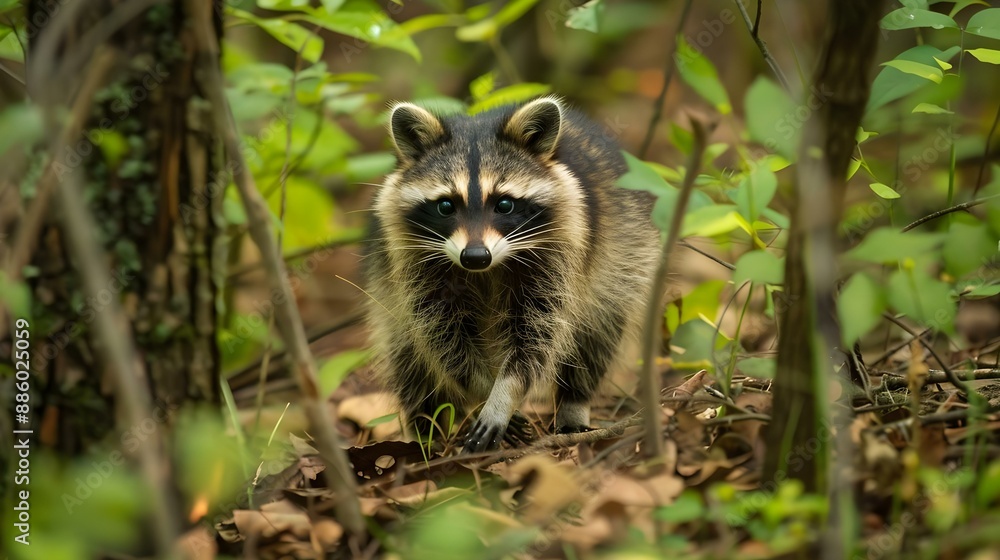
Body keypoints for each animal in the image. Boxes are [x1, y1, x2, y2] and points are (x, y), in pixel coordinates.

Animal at [363, 96, 659, 452]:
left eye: (504, 204)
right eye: (445, 206)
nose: (475, 256)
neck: (487, 270)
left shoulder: (561, 252)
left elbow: (538, 334)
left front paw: (504, 394)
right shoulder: (413, 262)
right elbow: (442, 336)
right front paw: (482, 389)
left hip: (623, 257)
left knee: (595, 338)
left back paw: (574, 404)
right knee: (409, 361)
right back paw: (425, 436)